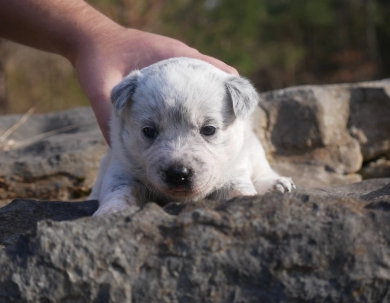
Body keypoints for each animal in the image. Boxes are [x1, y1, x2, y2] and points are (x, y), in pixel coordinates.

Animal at [90, 57, 294, 216]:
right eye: (149, 131)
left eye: (209, 130)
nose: (178, 174)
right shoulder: (122, 168)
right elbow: (118, 192)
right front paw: (110, 212)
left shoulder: (234, 173)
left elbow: (240, 190)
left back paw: (277, 183)